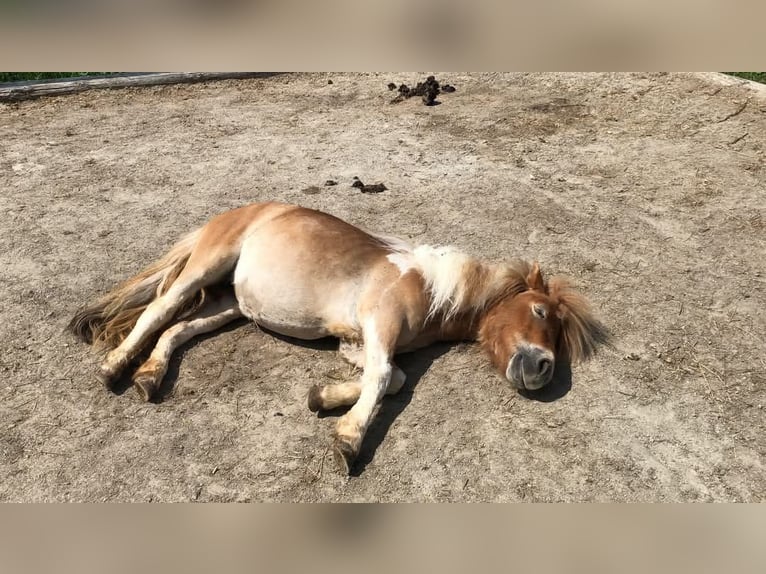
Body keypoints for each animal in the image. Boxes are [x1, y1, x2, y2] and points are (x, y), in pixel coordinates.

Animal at [72, 202, 612, 472]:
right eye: (539, 310)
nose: (542, 369)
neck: (428, 287)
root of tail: (236, 212)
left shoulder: (359, 340)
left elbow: (390, 378)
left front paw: (321, 397)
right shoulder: (379, 325)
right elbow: (382, 380)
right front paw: (348, 438)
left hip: (231, 304)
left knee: (178, 329)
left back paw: (149, 376)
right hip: (207, 267)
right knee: (158, 311)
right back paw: (114, 367)